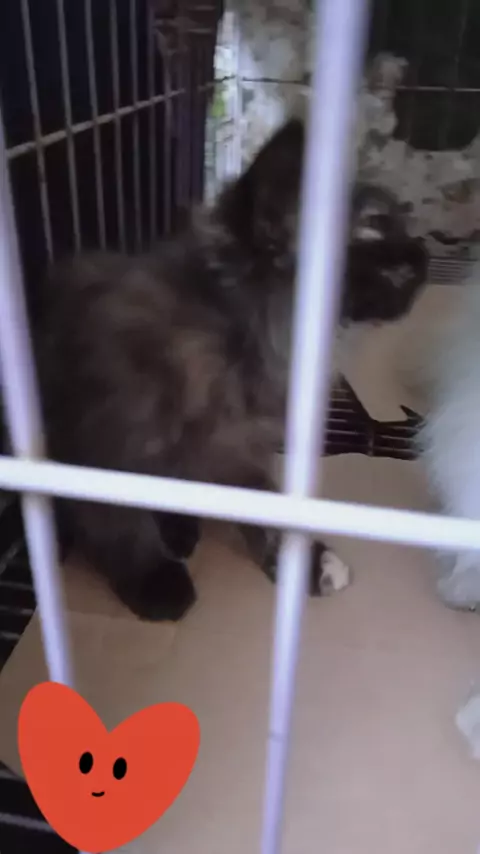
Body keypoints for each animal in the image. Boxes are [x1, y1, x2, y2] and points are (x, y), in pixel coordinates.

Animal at [35, 118, 429, 621]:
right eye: (375, 227)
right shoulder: (101, 445)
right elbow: (121, 525)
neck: (232, 347)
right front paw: (154, 580)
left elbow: (267, 503)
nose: (423, 252)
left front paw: (306, 562)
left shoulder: (243, 448)